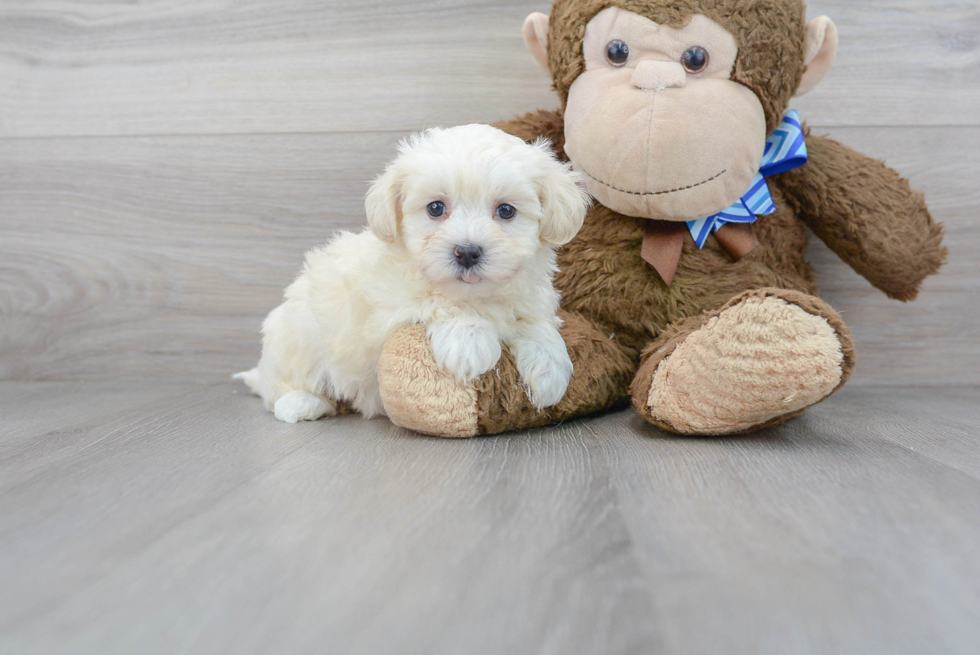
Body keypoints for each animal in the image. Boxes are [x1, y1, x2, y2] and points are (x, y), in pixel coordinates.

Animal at [237, 125, 588, 426]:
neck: (477, 295)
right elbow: (440, 303)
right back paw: (302, 403)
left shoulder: (531, 300)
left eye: (506, 211)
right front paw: (470, 342)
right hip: (296, 337)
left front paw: (549, 369)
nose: (467, 252)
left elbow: (536, 325)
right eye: (435, 208)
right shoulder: (387, 306)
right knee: (279, 389)